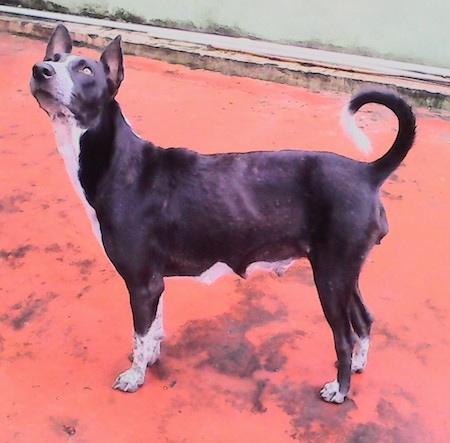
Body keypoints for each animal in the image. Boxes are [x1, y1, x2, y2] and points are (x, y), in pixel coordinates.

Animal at [30, 25, 414, 406]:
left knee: (344, 337)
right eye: (54, 58)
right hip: (345, 271)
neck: (119, 163)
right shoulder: (154, 281)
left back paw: (340, 389)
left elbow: (140, 333)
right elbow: (153, 328)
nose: (41, 70)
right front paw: (151, 356)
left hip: (331, 276)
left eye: (85, 70)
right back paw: (359, 365)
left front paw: (135, 376)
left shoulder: (141, 282)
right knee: (364, 319)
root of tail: (367, 171)